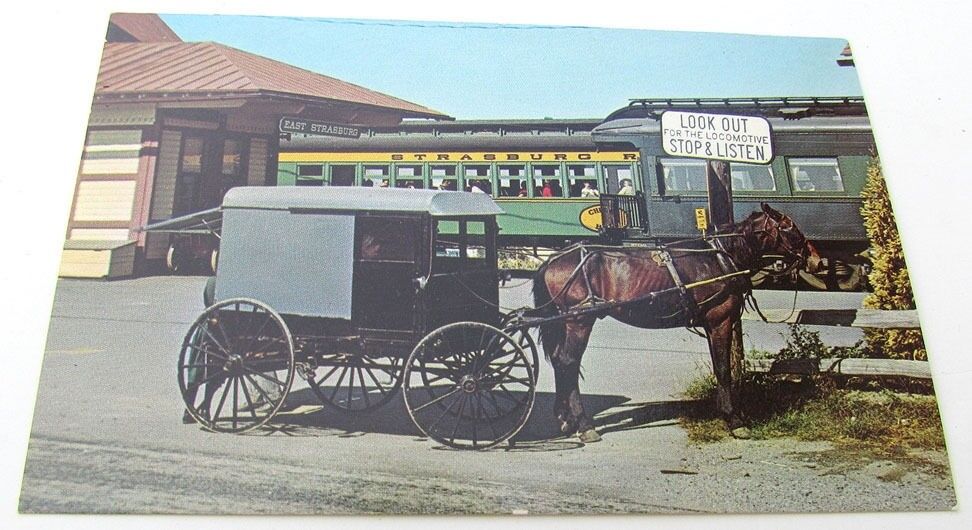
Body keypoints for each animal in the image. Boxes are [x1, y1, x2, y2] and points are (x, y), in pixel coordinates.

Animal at [532, 203, 820, 442]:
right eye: (790, 228)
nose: (816, 259)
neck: (718, 258)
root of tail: (552, 260)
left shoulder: (713, 324)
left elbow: (720, 367)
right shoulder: (720, 321)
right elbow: (723, 369)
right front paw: (733, 419)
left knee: (559, 362)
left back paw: (566, 419)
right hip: (579, 320)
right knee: (568, 362)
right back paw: (584, 425)